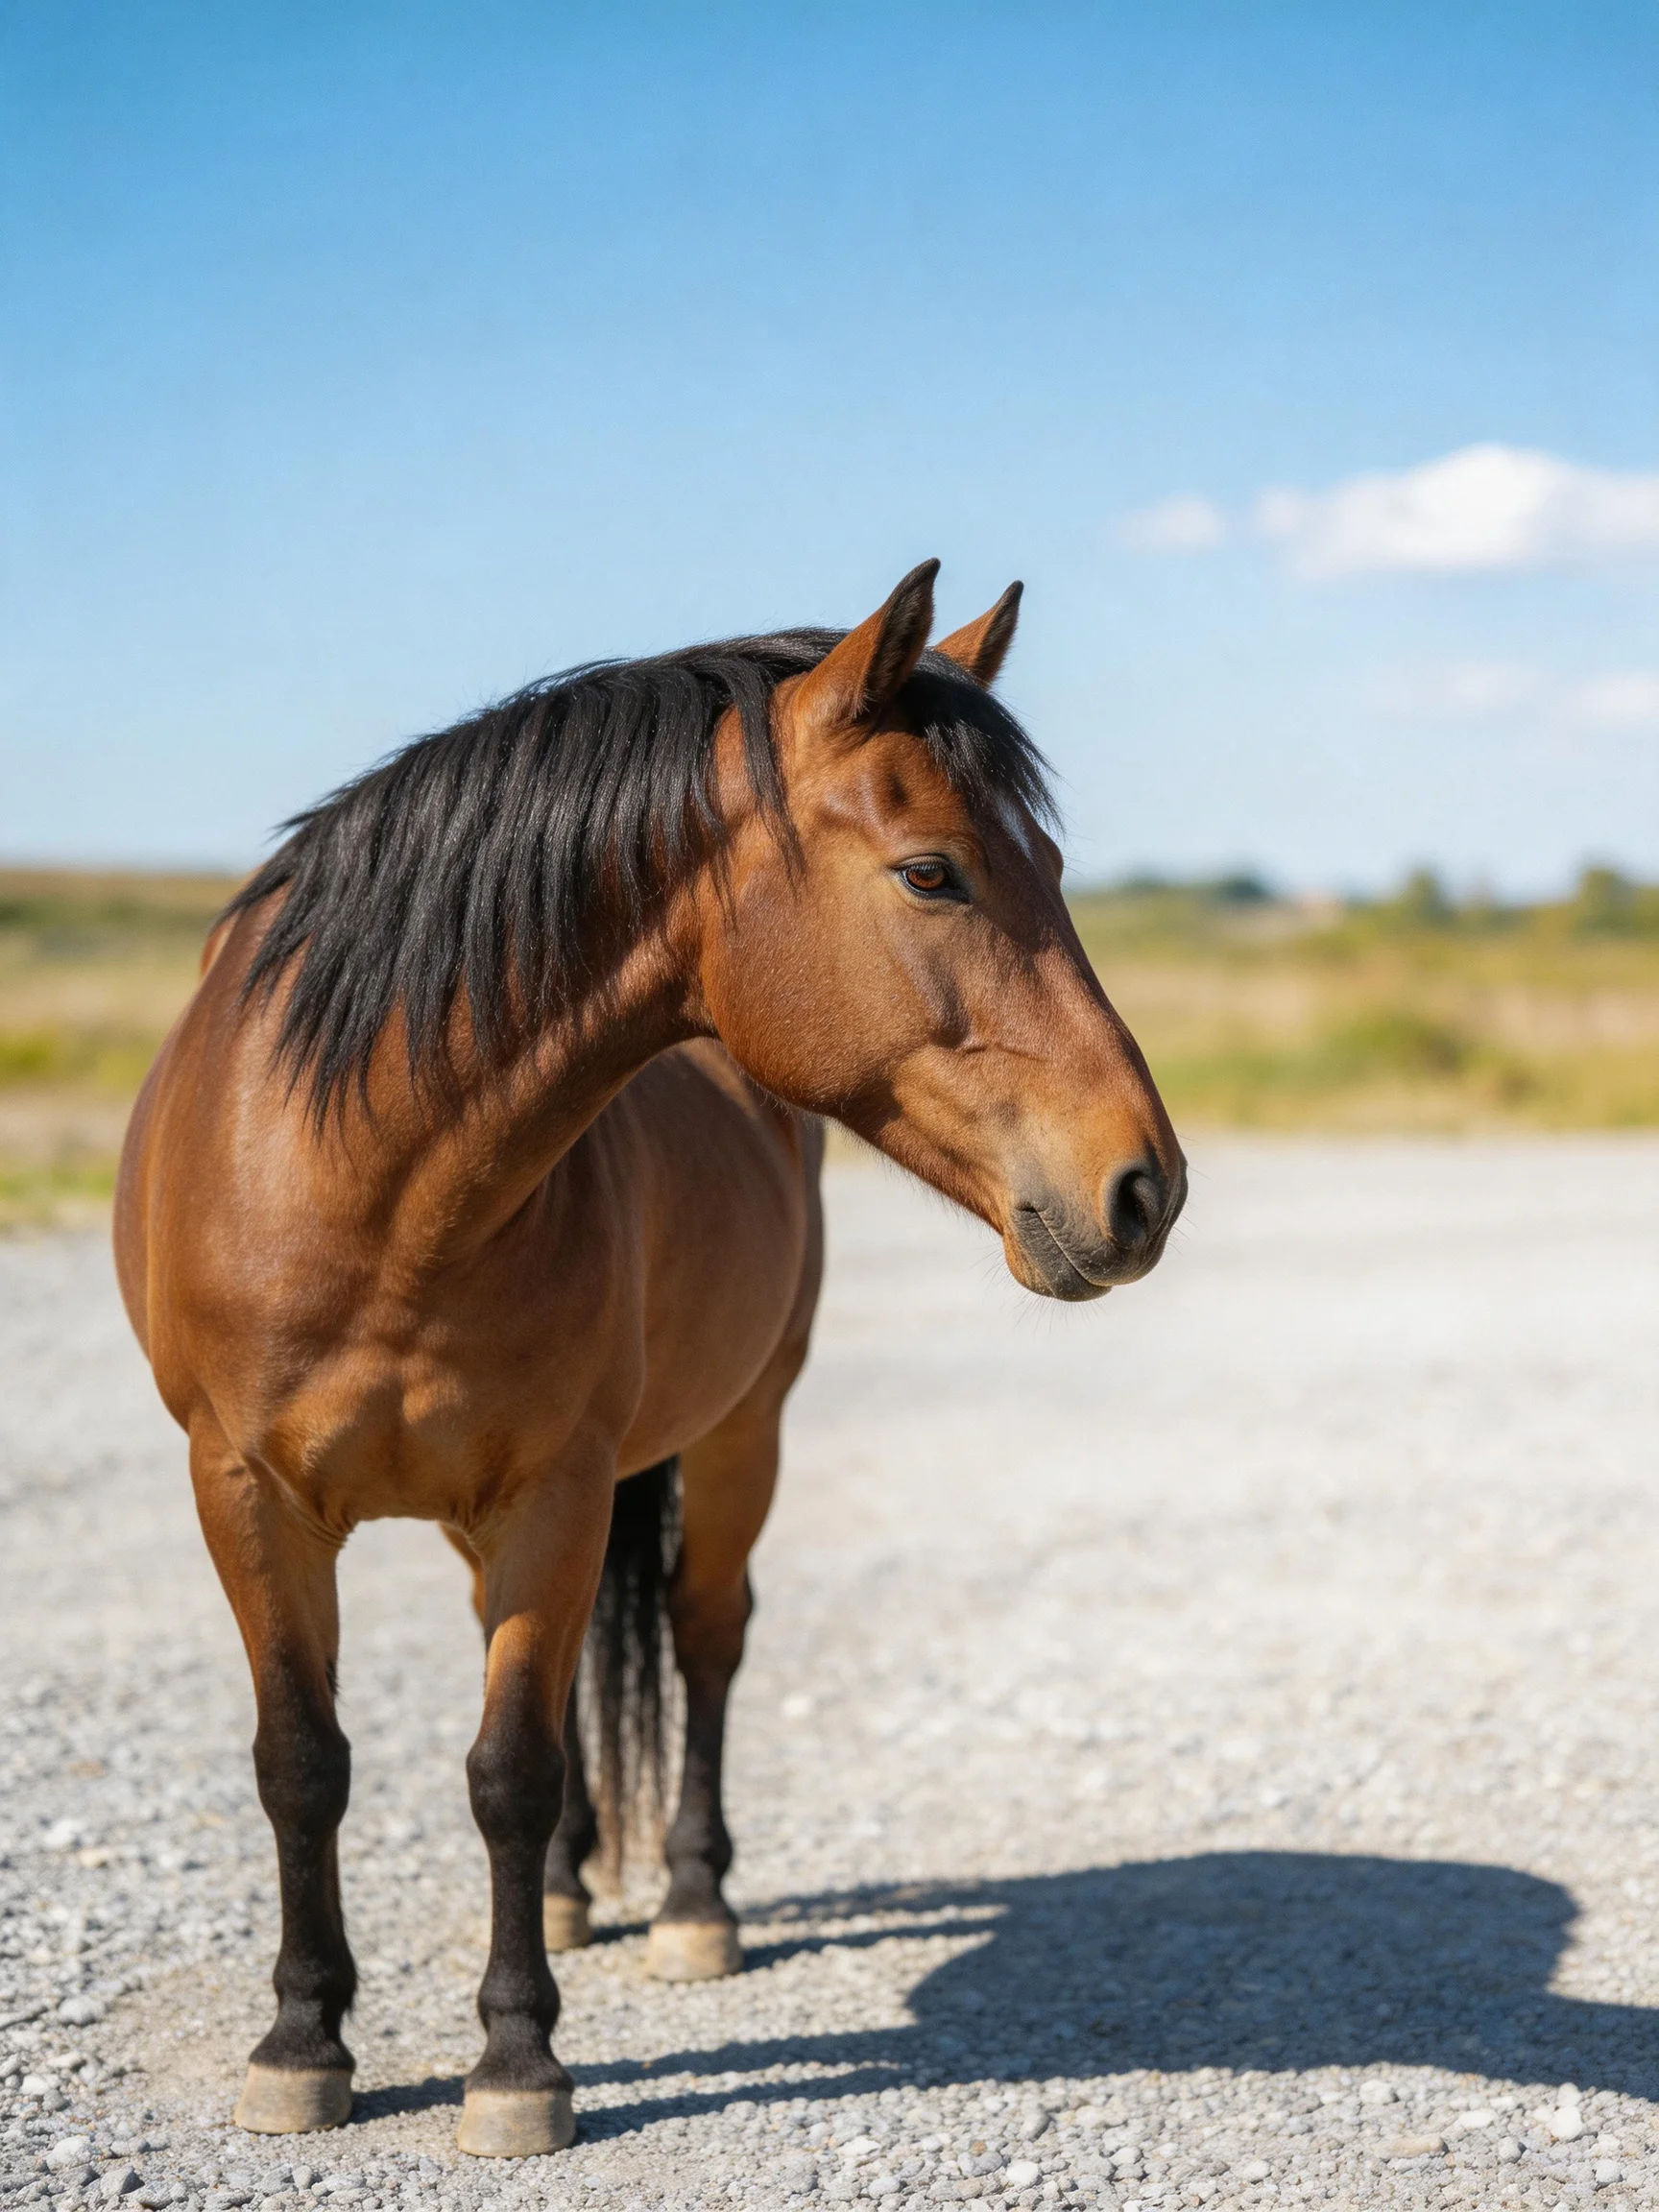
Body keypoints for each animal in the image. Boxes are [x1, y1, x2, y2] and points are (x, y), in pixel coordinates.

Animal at [113, 560, 1185, 2159]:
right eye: (933, 873)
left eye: (1050, 862)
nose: (1145, 1188)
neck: (360, 1175)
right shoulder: (245, 1491)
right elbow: (304, 1764)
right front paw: (303, 2043)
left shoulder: (556, 1493)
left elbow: (510, 1769)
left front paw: (516, 2065)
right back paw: (570, 1893)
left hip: (740, 1434)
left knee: (703, 1635)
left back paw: (688, 1904)